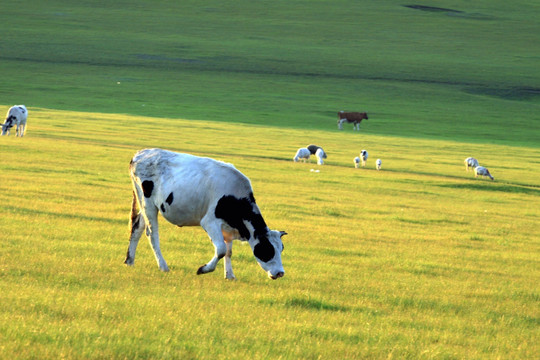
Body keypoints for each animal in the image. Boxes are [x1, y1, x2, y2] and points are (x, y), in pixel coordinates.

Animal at [125, 149, 286, 282]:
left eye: (281, 248)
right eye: (268, 249)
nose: (280, 273)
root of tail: (140, 154)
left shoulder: (228, 227)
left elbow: (228, 252)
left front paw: (229, 275)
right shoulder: (209, 221)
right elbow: (221, 249)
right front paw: (204, 269)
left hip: (144, 203)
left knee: (137, 227)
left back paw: (130, 260)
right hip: (148, 203)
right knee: (152, 233)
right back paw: (163, 266)